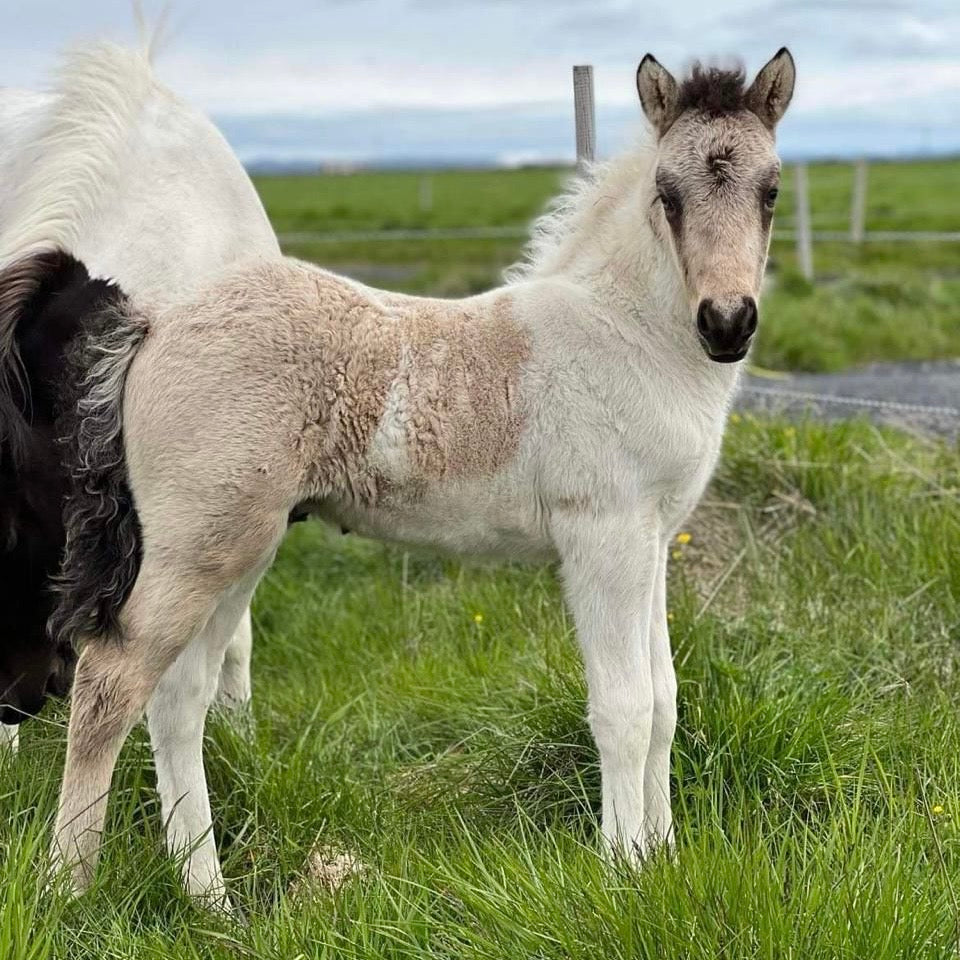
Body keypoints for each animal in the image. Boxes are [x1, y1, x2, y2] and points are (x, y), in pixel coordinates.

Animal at [43, 49, 795, 905]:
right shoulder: (602, 540)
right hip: (194, 549)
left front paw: (662, 858)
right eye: (668, 194)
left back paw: (212, 901)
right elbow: (623, 708)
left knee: (176, 701)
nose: (727, 323)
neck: (627, 333)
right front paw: (621, 873)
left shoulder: (654, 543)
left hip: (236, 549)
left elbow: (665, 700)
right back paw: (68, 889)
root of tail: (157, 323)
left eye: (771, 189)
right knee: (110, 683)